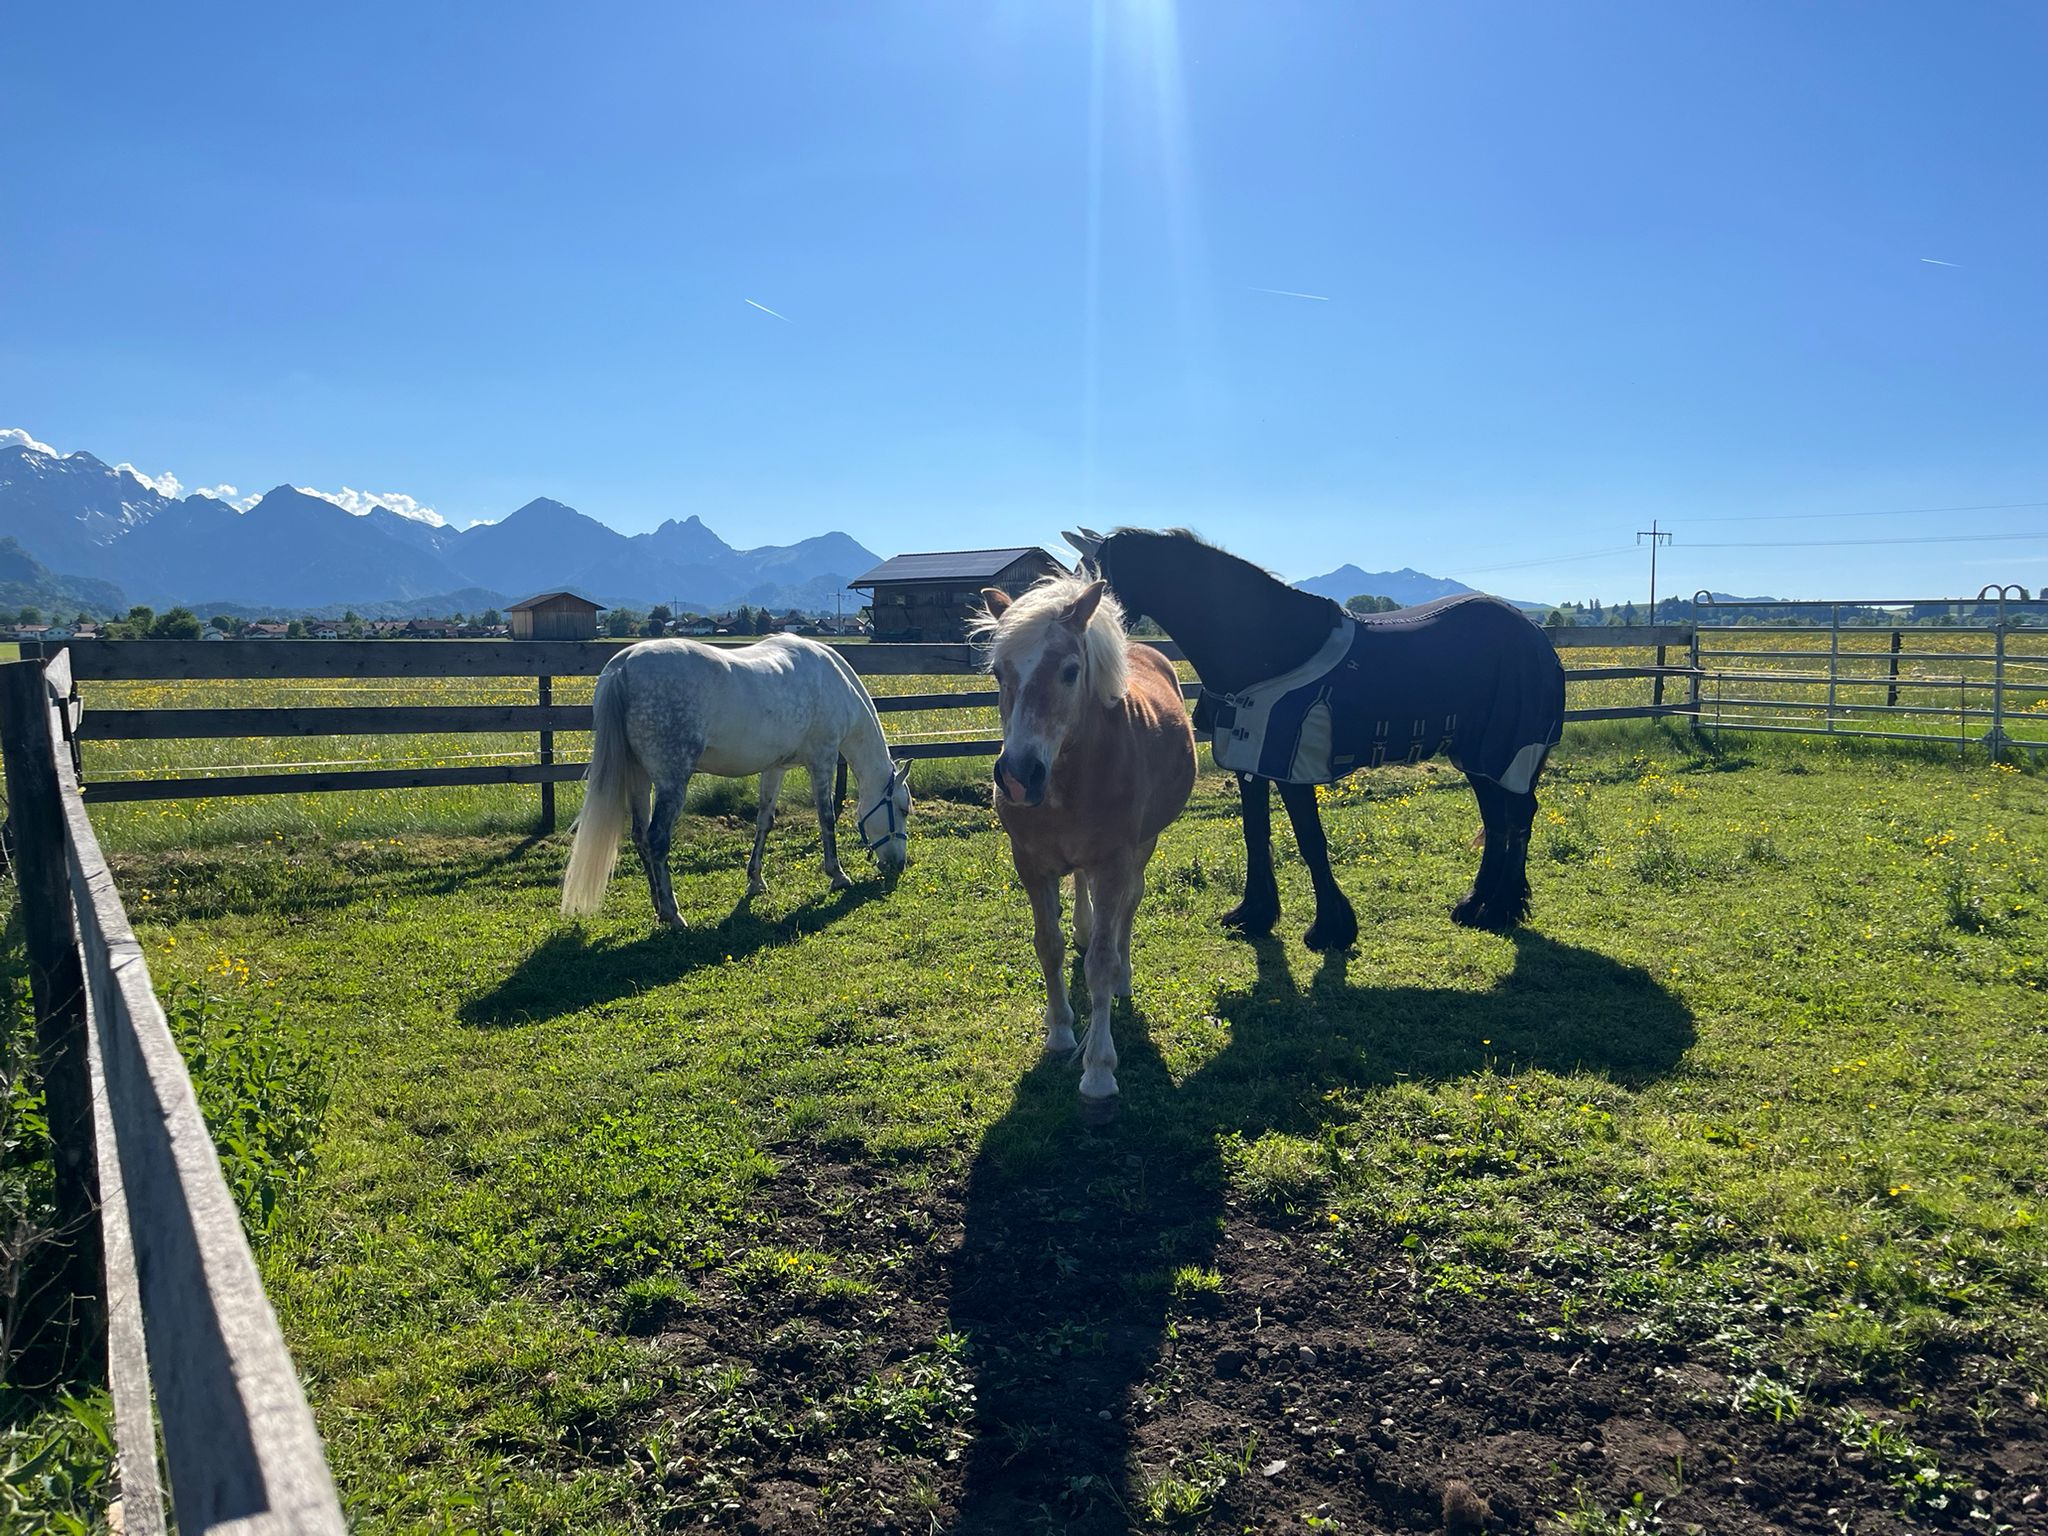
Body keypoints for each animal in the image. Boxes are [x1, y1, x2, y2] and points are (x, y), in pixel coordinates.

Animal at [560, 633, 911, 927]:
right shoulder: (822, 760)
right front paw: (837, 875)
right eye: (903, 809)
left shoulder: (775, 768)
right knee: (657, 838)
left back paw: (659, 907)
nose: (899, 864)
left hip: (639, 778)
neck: (834, 681)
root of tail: (624, 667)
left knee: (640, 837)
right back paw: (674, 914)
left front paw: (756, 880)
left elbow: (764, 821)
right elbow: (826, 818)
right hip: (671, 780)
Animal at [971, 575, 1196, 1117]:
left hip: (1142, 847)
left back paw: (1124, 975)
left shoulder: (1114, 861)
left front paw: (1098, 1071)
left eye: (1071, 671)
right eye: (998, 672)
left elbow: (1100, 965)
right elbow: (1048, 946)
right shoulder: (1031, 864)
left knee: (1128, 909)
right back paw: (1084, 928)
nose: (1018, 777)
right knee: (1082, 892)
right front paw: (1059, 1033)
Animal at [1063, 527, 1564, 948]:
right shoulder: (1250, 762)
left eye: (1096, 582)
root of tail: (1534, 634)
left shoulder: (1291, 765)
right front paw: (1254, 915)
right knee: (1498, 820)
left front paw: (1330, 929)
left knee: (1518, 817)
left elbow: (1309, 839)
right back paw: (1477, 905)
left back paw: (1500, 909)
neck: (1266, 644)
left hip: (1507, 751)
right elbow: (1256, 833)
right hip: (1478, 756)